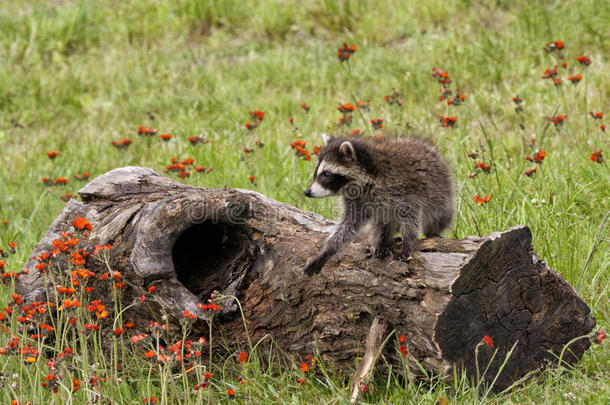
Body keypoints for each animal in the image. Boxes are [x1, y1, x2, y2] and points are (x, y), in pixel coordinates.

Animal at [302, 134, 452, 276]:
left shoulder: (404, 190)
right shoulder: (356, 200)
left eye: (327, 174)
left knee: (438, 217)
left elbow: (411, 217)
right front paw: (327, 250)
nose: (307, 192)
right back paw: (383, 240)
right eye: (316, 173)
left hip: (440, 194)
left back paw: (433, 232)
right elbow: (348, 225)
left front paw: (407, 242)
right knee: (381, 221)